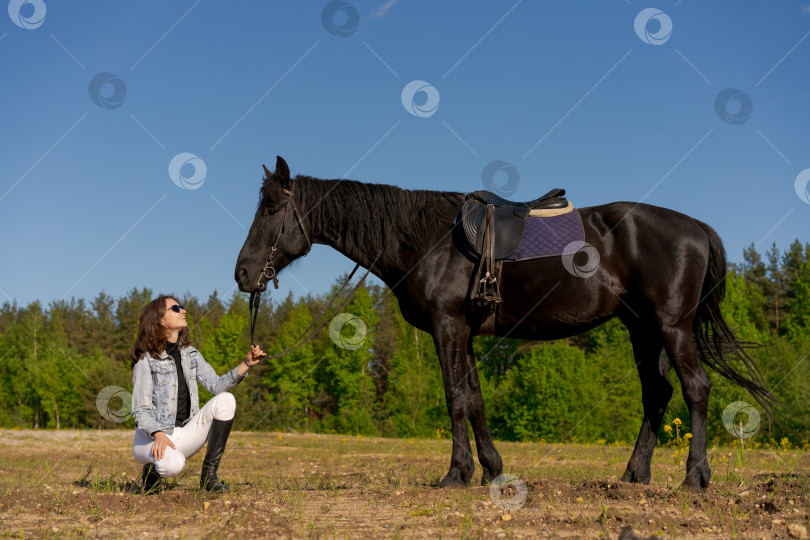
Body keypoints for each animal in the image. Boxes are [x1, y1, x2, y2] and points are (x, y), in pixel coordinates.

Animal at [234, 157, 776, 494]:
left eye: (271, 209)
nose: (242, 274)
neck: (425, 239)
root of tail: (695, 228)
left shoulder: (448, 328)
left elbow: (455, 398)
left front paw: (456, 474)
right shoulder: (465, 334)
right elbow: (475, 399)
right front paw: (491, 470)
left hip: (672, 327)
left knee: (696, 388)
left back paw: (694, 477)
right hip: (642, 330)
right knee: (657, 394)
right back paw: (633, 475)